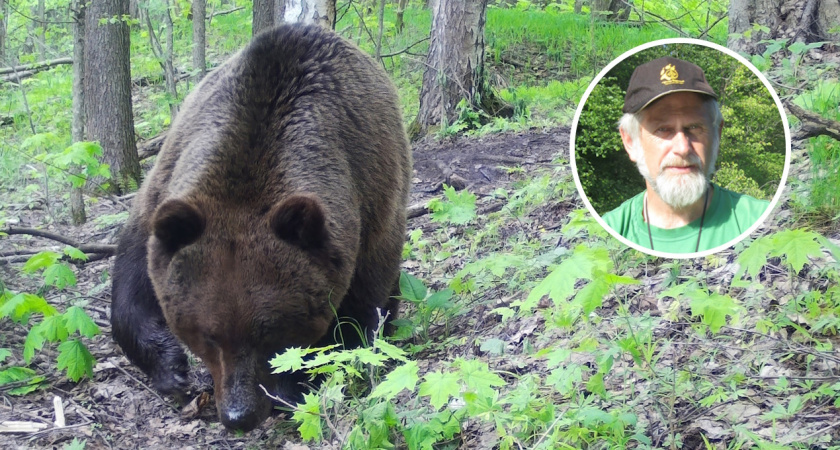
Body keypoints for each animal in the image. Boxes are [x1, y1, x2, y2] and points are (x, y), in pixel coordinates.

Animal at [110, 24, 412, 432]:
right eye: (208, 335)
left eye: (270, 331)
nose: (240, 415)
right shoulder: (163, 195)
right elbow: (133, 286)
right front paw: (172, 369)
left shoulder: (370, 198)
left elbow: (357, 314)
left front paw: (297, 384)